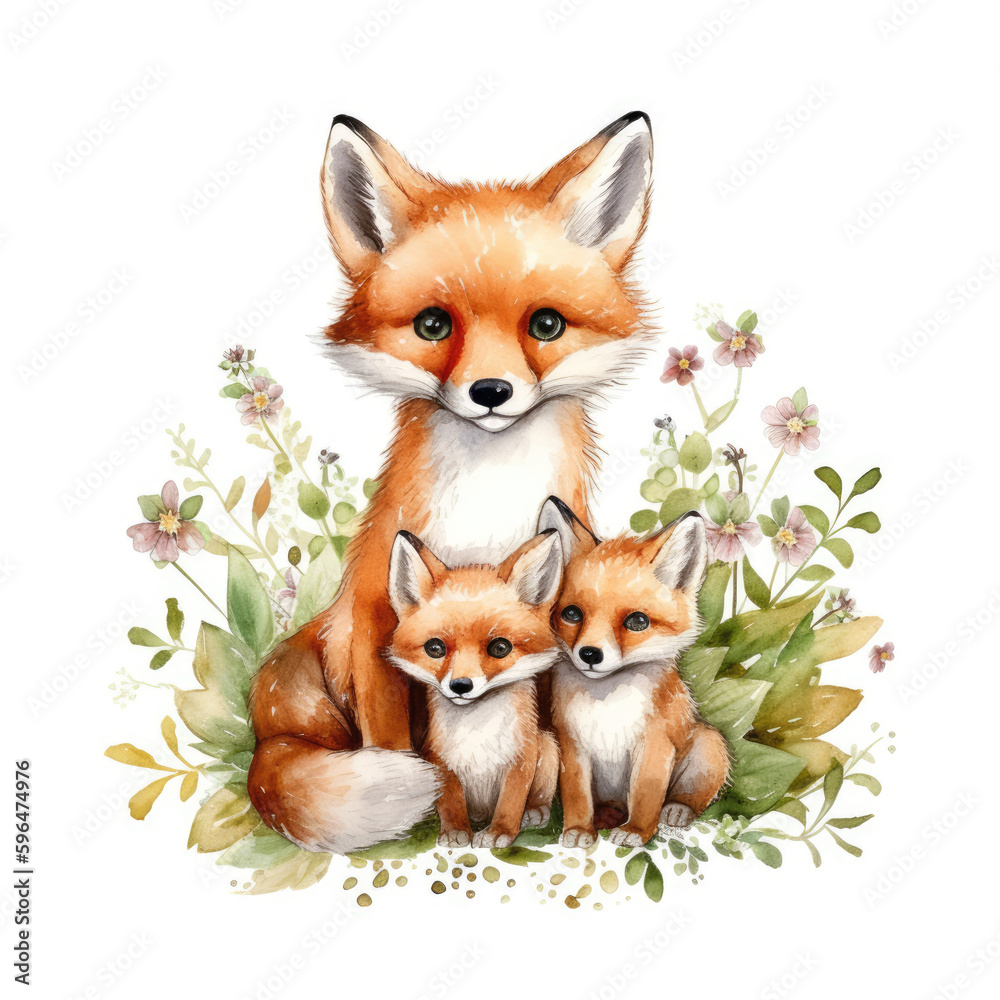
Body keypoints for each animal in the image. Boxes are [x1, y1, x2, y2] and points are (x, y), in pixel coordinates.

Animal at [386, 528, 563, 849]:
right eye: (435, 648)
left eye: (500, 648)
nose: (460, 685)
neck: (477, 732)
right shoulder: (440, 760)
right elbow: (451, 801)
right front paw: (455, 831)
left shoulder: (521, 758)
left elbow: (511, 802)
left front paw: (499, 832)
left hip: (548, 746)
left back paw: (535, 812)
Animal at [538, 498, 730, 849]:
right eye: (572, 614)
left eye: (637, 621)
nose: (589, 654)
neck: (607, 705)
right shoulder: (572, 744)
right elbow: (577, 795)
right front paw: (578, 829)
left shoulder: (655, 744)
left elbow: (646, 795)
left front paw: (637, 832)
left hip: (709, 744)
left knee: (689, 797)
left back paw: (677, 810)